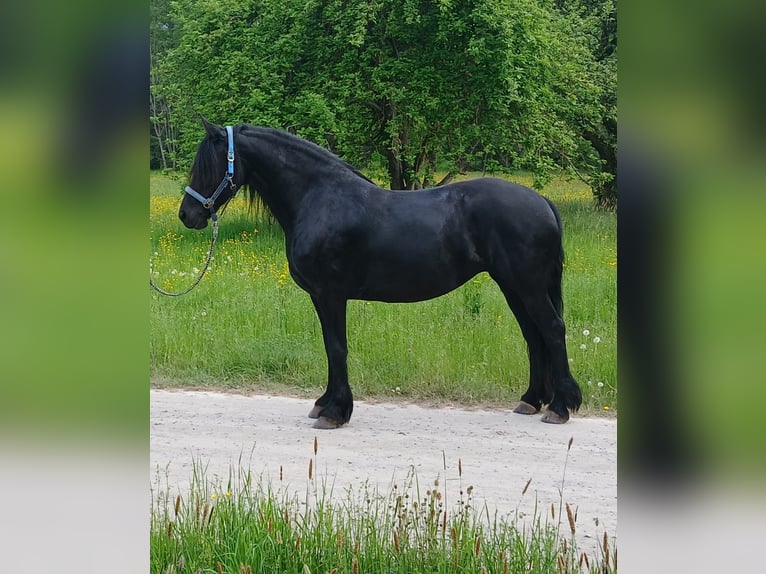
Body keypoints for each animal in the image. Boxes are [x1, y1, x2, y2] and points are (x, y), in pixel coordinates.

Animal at [178, 118, 582, 429]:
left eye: (210, 165)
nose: (188, 215)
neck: (319, 198)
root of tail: (542, 202)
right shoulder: (323, 297)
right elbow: (331, 347)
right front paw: (325, 404)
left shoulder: (329, 294)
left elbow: (336, 347)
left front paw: (334, 412)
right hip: (513, 286)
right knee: (533, 336)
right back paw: (531, 400)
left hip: (527, 286)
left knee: (551, 329)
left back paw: (560, 408)